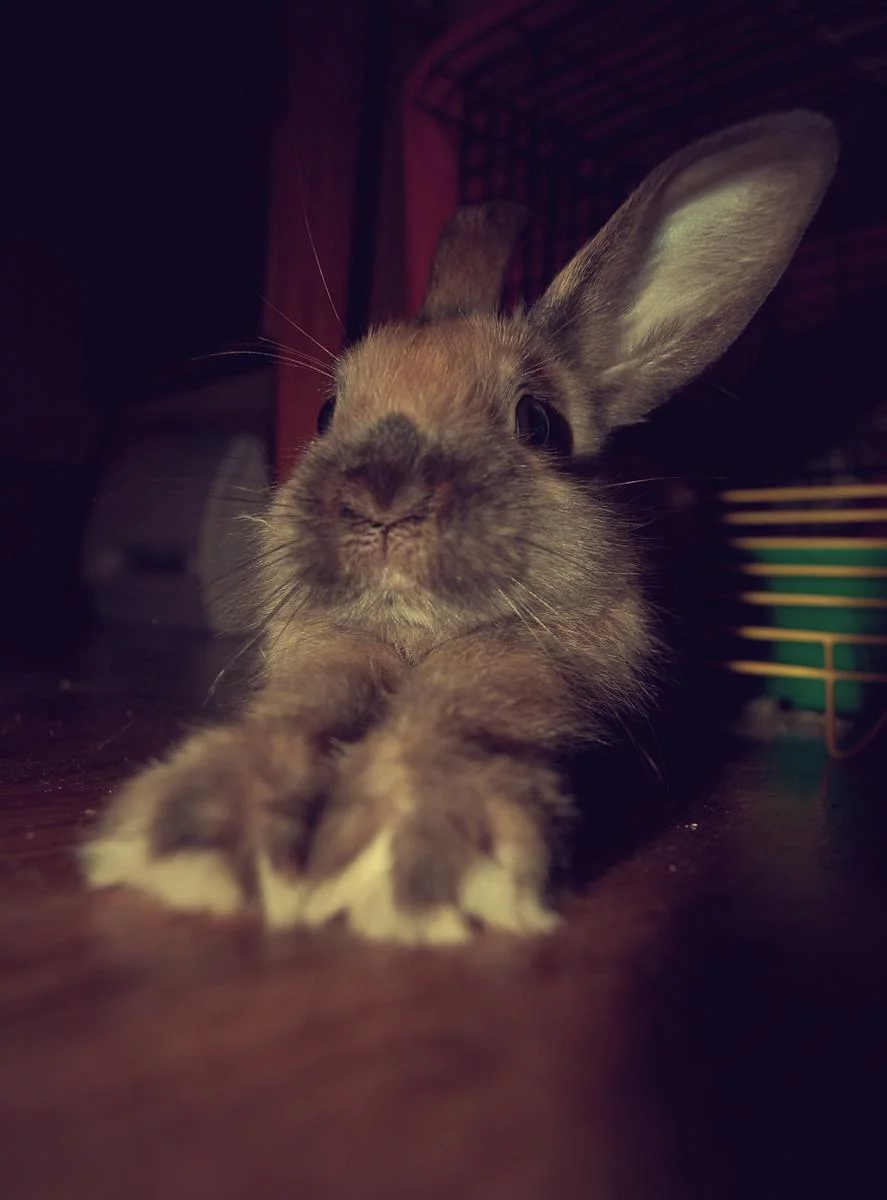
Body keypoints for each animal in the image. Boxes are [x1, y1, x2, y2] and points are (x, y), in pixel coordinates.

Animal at [81, 111, 838, 943]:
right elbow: (310, 700)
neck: (418, 630)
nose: (384, 497)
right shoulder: (328, 647)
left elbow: (482, 693)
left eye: (538, 422)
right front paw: (201, 830)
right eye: (325, 412)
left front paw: (413, 851)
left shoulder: (541, 663)